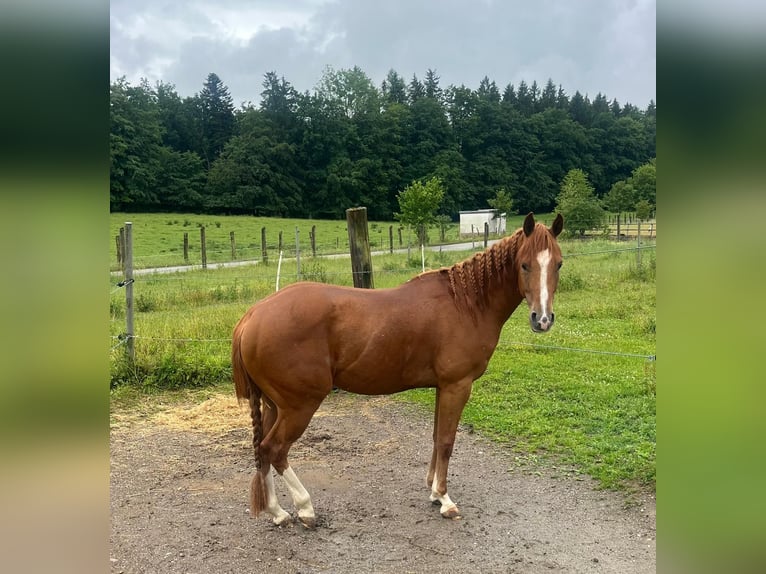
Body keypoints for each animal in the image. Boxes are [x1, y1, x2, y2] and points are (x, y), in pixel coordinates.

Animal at [232, 212, 564, 528]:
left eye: (558, 264)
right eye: (524, 265)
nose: (542, 319)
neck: (466, 304)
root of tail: (253, 315)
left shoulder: (442, 387)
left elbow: (436, 437)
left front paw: (433, 491)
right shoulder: (457, 385)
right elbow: (447, 441)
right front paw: (444, 499)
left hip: (274, 405)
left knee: (262, 451)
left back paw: (278, 512)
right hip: (299, 406)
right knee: (275, 449)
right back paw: (305, 508)